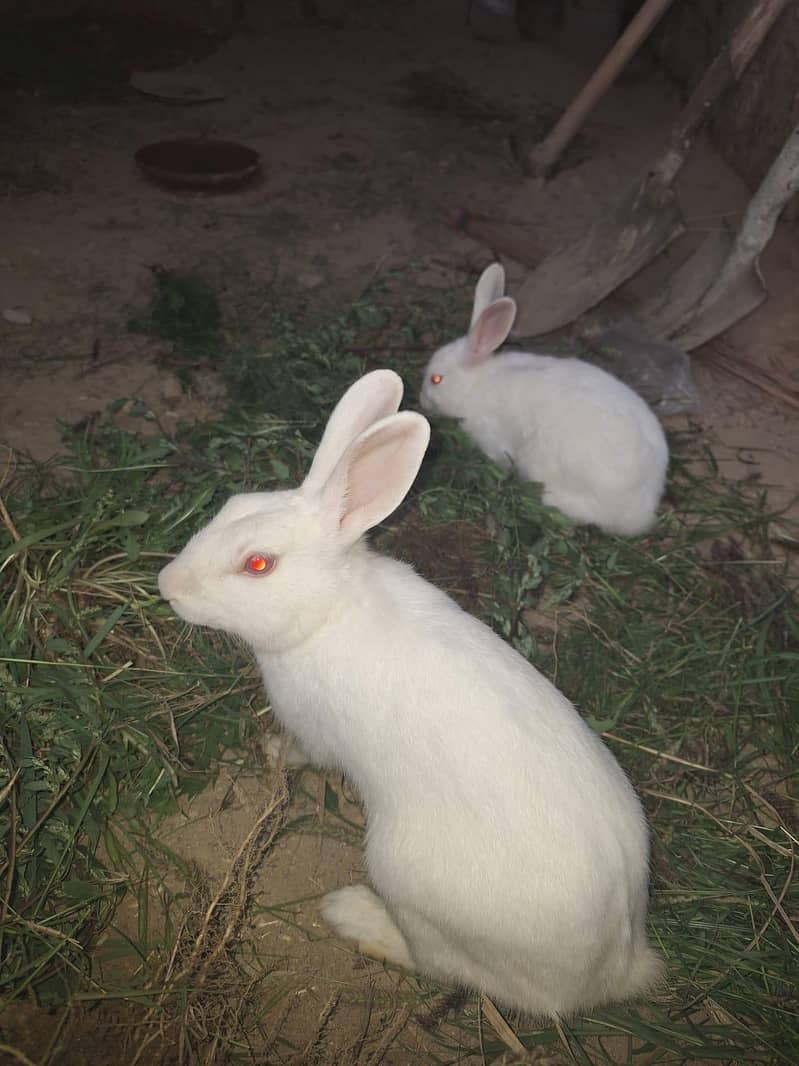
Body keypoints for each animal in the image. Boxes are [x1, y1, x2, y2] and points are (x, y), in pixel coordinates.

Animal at [158, 369, 663, 1020]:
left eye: (258, 564)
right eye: (232, 506)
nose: (167, 585)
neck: (330, 611)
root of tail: (614, 972)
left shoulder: (316, 732)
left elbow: (304, 752)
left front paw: (272, 753)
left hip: (404, 878)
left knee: (440, 964)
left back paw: (352, 914)